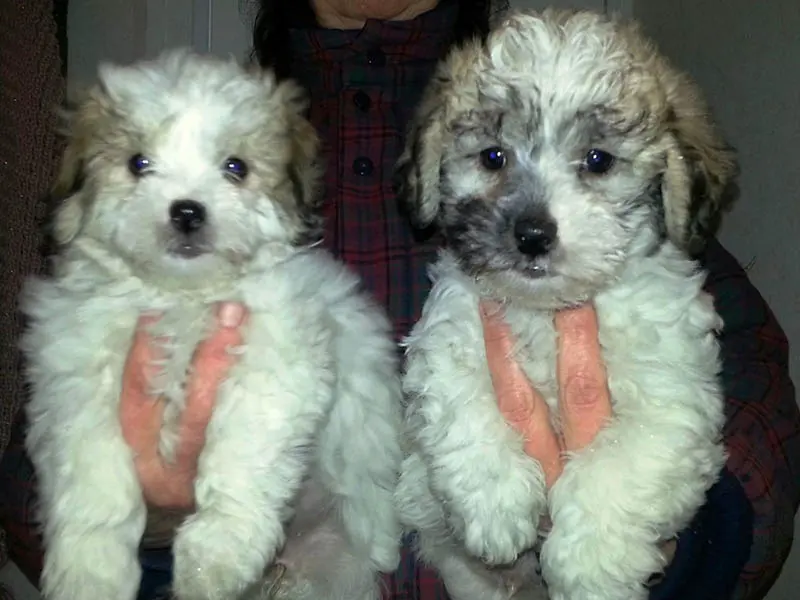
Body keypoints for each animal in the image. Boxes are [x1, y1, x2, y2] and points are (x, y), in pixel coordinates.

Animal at [21, 50, 404, 600]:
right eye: (137, 164)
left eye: (235, 168)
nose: (187, 211)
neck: (184, 296)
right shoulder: (75, 375)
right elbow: (92, 474)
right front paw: (90, 571)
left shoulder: (277, 355)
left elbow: (243, 447)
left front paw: (219, 550)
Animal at [394, 8, 736, 600]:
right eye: (493, 157)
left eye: (598, 160)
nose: (532, 234)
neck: (547, 313)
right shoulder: (449, 334)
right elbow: (462, 402)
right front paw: (496, 503)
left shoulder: (673, 401)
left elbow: (616, 469)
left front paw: (590, 566)